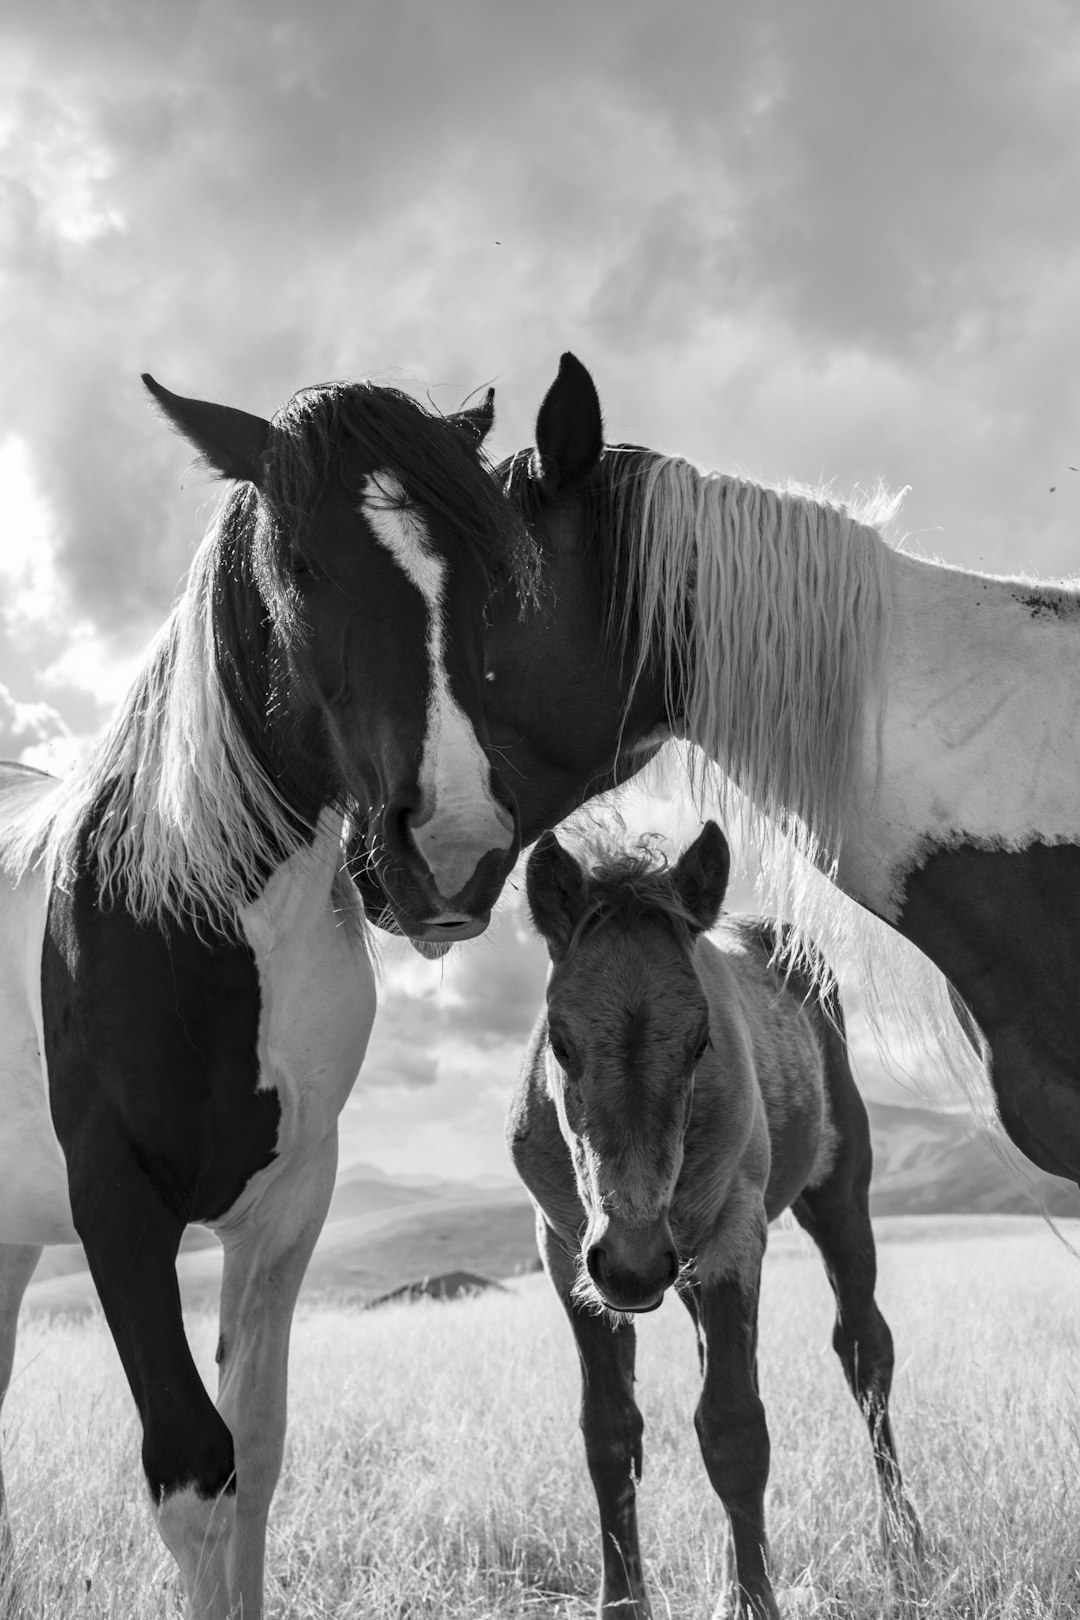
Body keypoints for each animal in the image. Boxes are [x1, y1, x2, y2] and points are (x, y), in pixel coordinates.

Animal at [0, 370, 527, 1620]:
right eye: (304, 568)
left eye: (488, 570)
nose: (454, 852)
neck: (186, 913)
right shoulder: (117, 1207)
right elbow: (196, 1471)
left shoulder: (290, 1205)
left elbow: (259, 1449)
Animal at [511, 822, 926, 1620]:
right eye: (561, 1043)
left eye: (701, 1043)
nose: (634, 1263)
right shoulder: (565, 1251)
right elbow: (609, 1436)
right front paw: (624, 1603)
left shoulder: (734, 1235)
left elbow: (735, 1430)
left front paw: (754, 1600)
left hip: (835, 1194)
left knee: (865, 1350)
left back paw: (906, 1544)